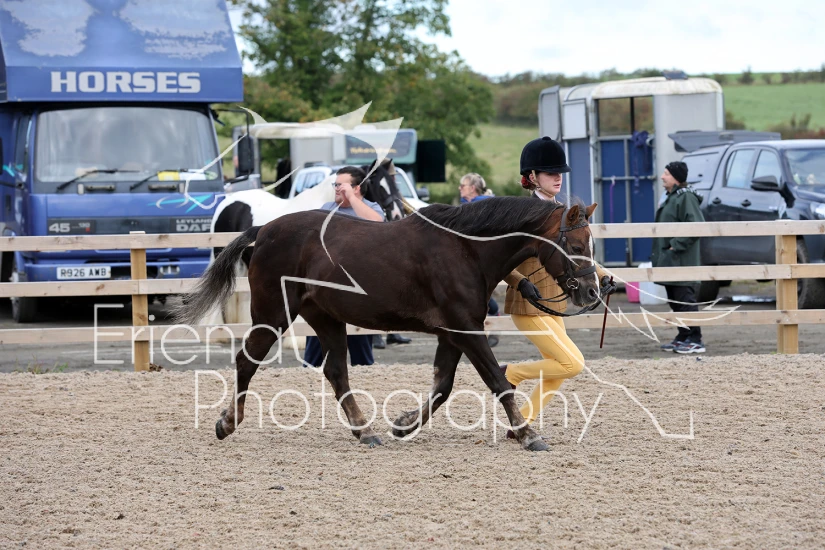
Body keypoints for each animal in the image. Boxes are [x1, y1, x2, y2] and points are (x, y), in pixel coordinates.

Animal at [175, 197, 601, 452]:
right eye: (577, 246)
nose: (593, 291)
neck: (465, 249)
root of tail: (264, 230)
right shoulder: (465, 329)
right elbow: (496, 380)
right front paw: (529, 434)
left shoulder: (453, 333)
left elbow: (443, 386)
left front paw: (404, 424)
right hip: (273, 314)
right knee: (247, 361)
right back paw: (228, 422)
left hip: (325, 318)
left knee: (336, 371)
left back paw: (366, 431)